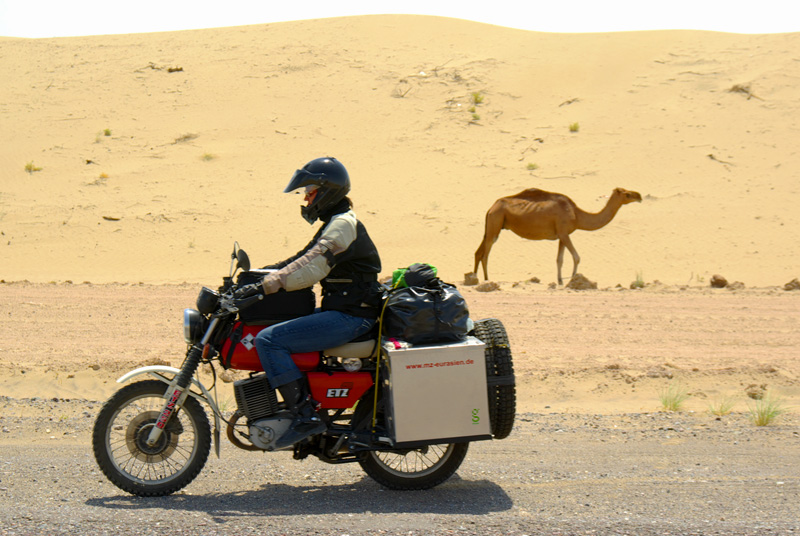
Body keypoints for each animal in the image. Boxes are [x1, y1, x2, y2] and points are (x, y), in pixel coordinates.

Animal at [472, 186, 640, 284]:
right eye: (627, 194)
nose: (639, 196)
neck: (577, 215)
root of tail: (491, 207)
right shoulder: (565, 233)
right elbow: (576, 256)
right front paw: (573, 279)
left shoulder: (561, 235)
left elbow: (560, 259)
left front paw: (560, 281)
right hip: (496, 220)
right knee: (486, 254)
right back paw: (487, 280)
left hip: (493, 224)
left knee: (478, 252)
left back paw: (474, 278)